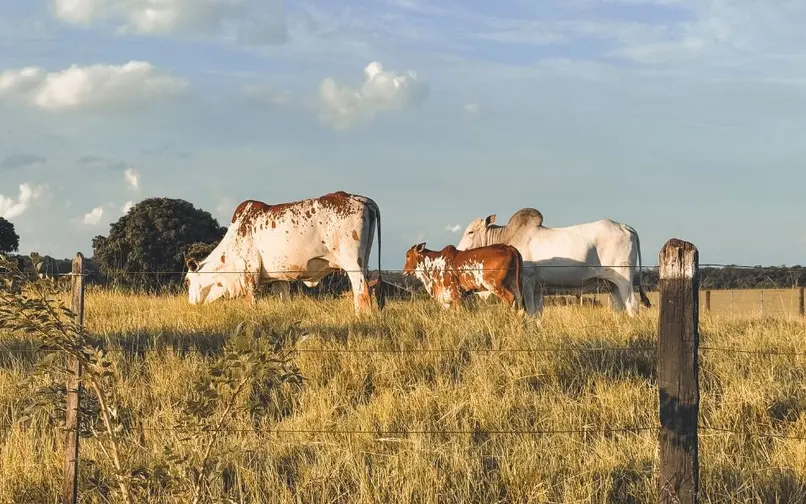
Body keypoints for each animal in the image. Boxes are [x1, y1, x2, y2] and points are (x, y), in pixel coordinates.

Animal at [183, 191, 385, 313]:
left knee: (362, 291)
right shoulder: (279, 278)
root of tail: (358, 198)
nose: (191, 304)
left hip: (353, 264)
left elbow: (250, 301)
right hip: (364, 261)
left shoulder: (249, 273)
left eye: (187, 281)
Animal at [456, 208, 651, 317]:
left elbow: (530, 312)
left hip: (624, 280)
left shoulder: (527, 284)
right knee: (620, 307)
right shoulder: (537, 288)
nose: (459, 249)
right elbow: (537, 313)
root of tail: (624, 227)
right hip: (613, 285)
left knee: (632, 306)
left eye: (471, 232)